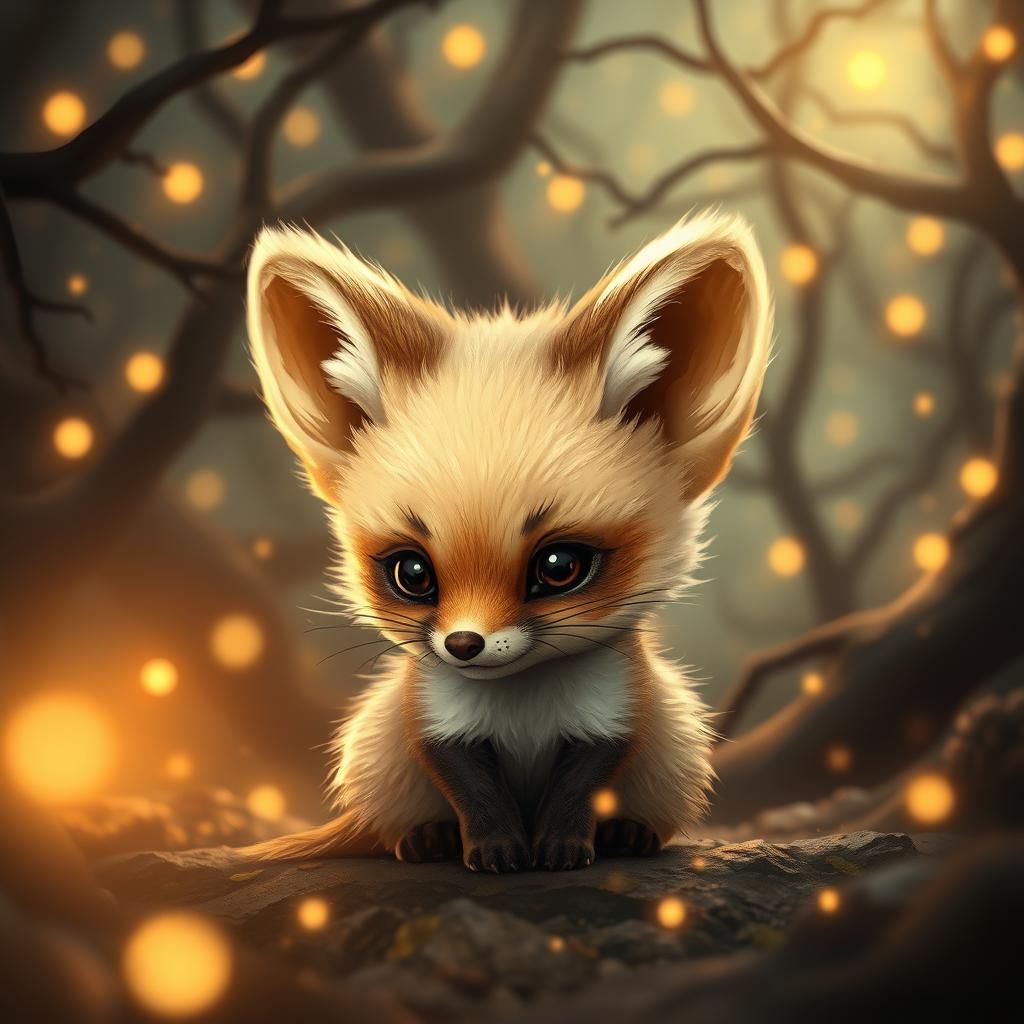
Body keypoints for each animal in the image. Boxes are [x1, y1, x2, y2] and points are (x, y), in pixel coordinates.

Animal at [242, 211, 771, 872]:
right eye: (411, 573)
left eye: (560, 564)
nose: (464, 644)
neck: (521, 709)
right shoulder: (438, 726)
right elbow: (475, 795)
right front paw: (495, 851)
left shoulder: (612, 720)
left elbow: (578, 793)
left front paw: (563, 848)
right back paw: (424, 838)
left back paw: (629, 834)